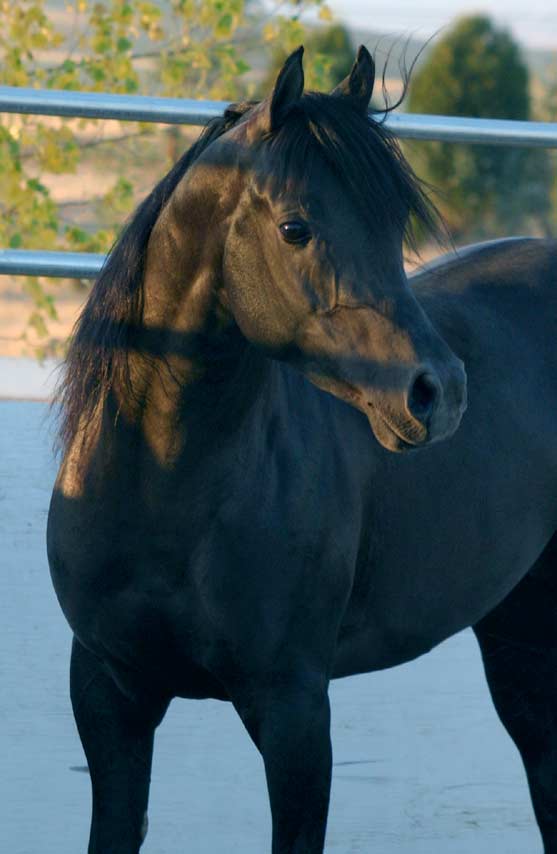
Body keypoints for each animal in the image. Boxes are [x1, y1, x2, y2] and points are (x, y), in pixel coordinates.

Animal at [46, 48, 556, 854]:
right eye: (294, 228)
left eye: (392, 221)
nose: (437, 393)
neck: (165, 492)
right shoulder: (107, 694)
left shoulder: (293, 711)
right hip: (520, 630)